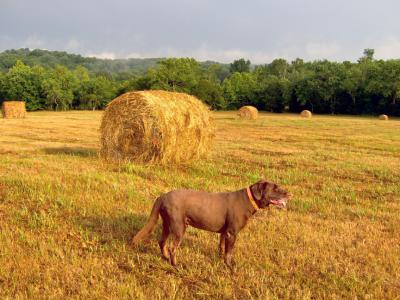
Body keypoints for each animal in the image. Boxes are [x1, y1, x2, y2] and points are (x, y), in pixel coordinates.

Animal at [131, 180, 290, 268]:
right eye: (275, 188)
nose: (290, 194)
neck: (248, 200)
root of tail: (162, 196)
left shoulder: (224, 232)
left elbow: (221, 247)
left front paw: (220, 258)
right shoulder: (232, 233)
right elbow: (229, 252)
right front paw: (229, 266)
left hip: (167, 224)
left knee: (162, 242)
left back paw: (165, 258)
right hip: (179, 227)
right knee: (172, 247)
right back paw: (176, 265)